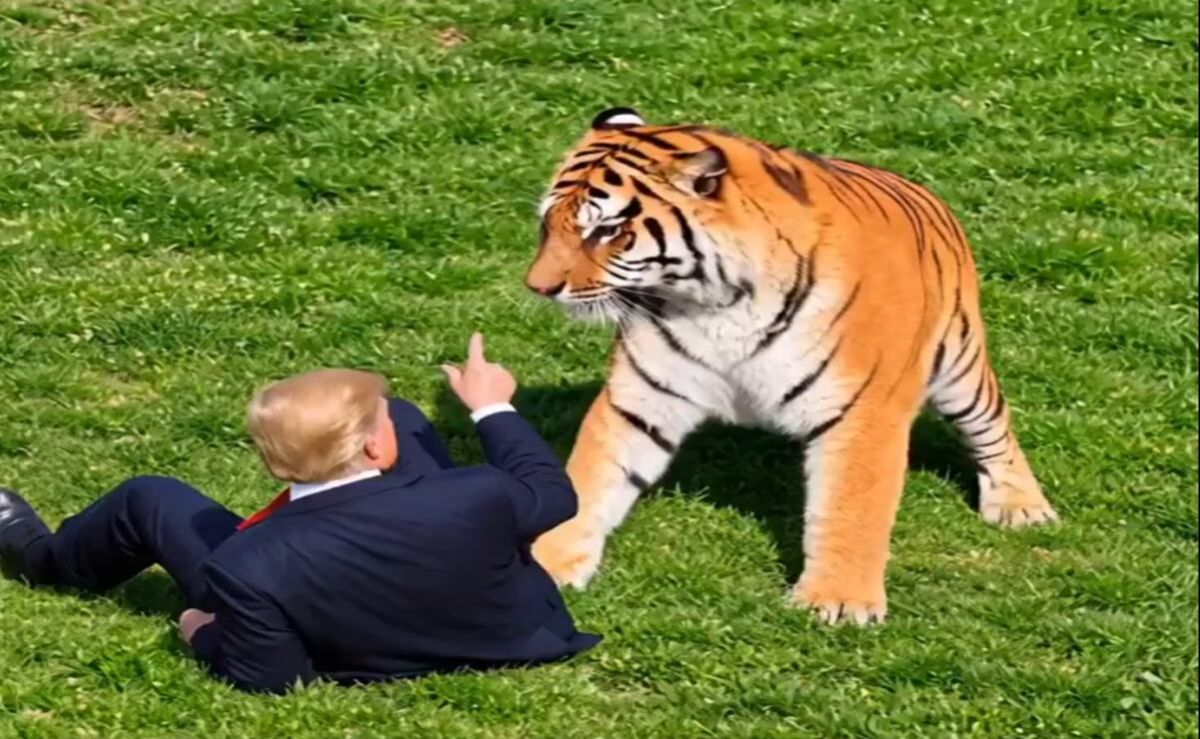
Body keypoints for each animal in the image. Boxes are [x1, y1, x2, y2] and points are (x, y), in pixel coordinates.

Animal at [524, 108, 1058, 625]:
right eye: (548, 224)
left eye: (607, 231)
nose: (538, 287)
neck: (716, 304)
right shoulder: (640, 399)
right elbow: (590, 480)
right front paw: (547, 565)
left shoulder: (863, 410)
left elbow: (852, 506)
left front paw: (837, 602)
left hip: (960, 363)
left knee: (993, 424)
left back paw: (1021, 507)